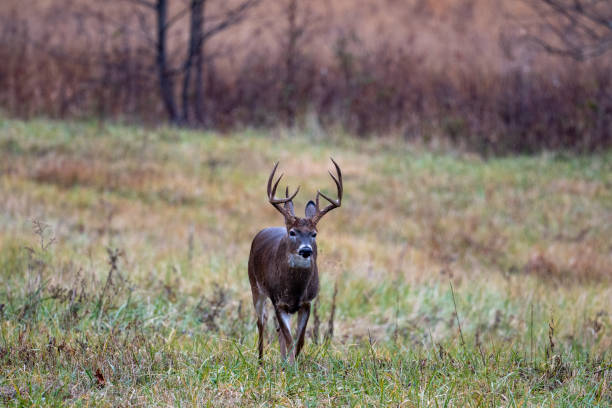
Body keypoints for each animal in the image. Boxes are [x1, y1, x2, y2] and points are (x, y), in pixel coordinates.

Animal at [249, 158, 344, 362]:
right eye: (292, 232)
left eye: (314, 233)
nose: (306, 250)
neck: (295, 289)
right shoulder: (278, 301)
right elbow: (290, 338)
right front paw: (291, 365)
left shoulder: (306, 302)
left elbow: (299, 340)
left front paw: (291, 362)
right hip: (255, 286)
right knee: (261, 323)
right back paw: (260, 360)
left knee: (277, 329)